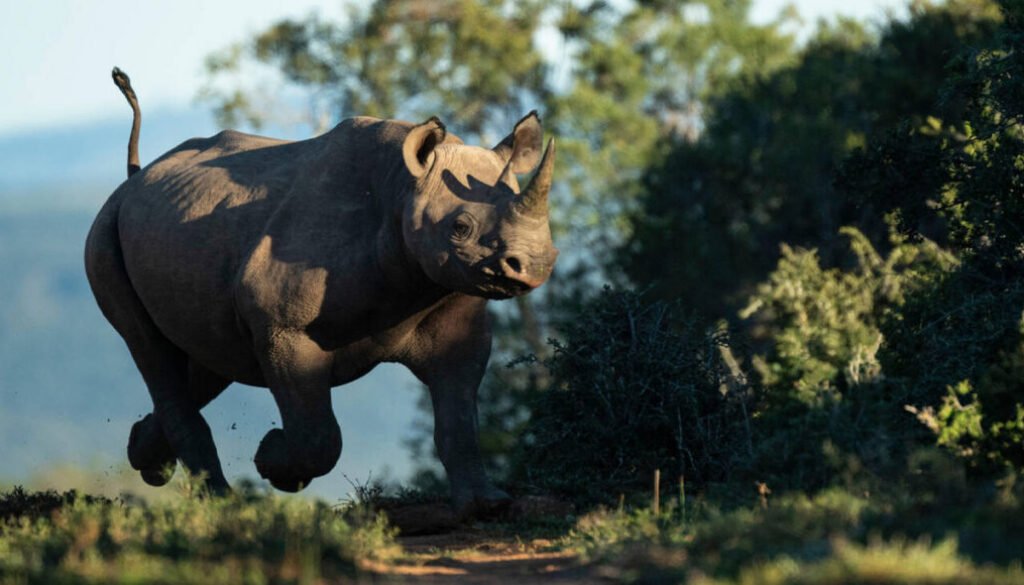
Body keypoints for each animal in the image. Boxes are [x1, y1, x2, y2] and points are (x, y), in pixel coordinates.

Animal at [85, 68, 558, 512]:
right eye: (460, 228)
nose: (533, 265)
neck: (402, 191)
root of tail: (134, 180)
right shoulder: (283, 326)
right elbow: (320, 437)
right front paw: (271, 459)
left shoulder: (455, 313)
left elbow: (459, 419)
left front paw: (486, 506)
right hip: (105, 231)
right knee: (150, 348)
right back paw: (223, 505)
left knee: (207, 358)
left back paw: (146, 459)